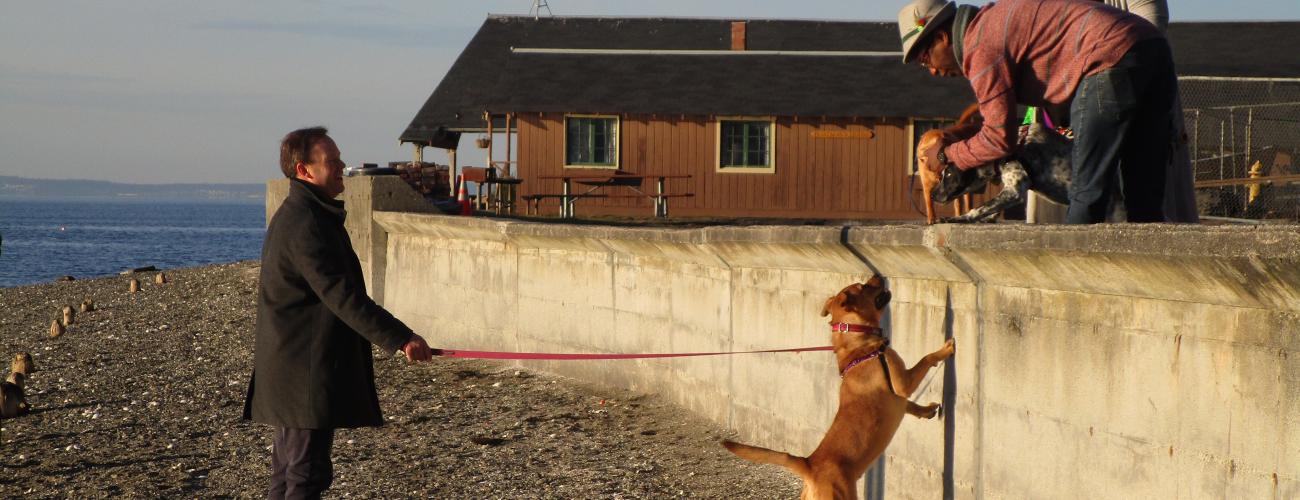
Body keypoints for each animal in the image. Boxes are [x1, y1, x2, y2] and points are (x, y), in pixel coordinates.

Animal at [722, 276, 956, 498]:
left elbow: (910, 405)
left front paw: (926, 411)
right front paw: (946, 349)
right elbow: (926, 359)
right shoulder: (902, 384)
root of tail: (809, 464)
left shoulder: (899, 396)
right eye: (863, 286)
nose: (877, 275)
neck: (862, 346)